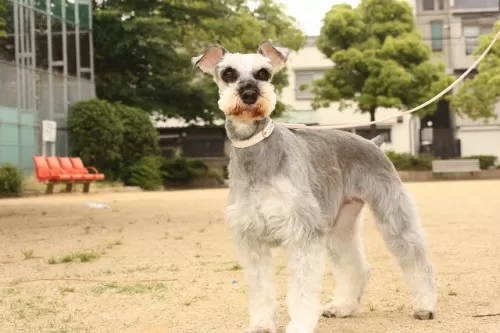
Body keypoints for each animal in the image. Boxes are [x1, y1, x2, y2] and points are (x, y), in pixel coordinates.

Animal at [193, 41, 436, 332]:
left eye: (263, 73)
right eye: (228, 73)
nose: (250, 94)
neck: (257, 153)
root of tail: (373, 143)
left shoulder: (303, 233)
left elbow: (302, 290)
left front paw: (299, 325)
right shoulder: (251, 240)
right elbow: (261, 290)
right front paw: (262, 325)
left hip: (392, 214)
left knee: (416, 260)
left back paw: (425, 306)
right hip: (339, 225)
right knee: (356, 266)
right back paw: (343, 307)